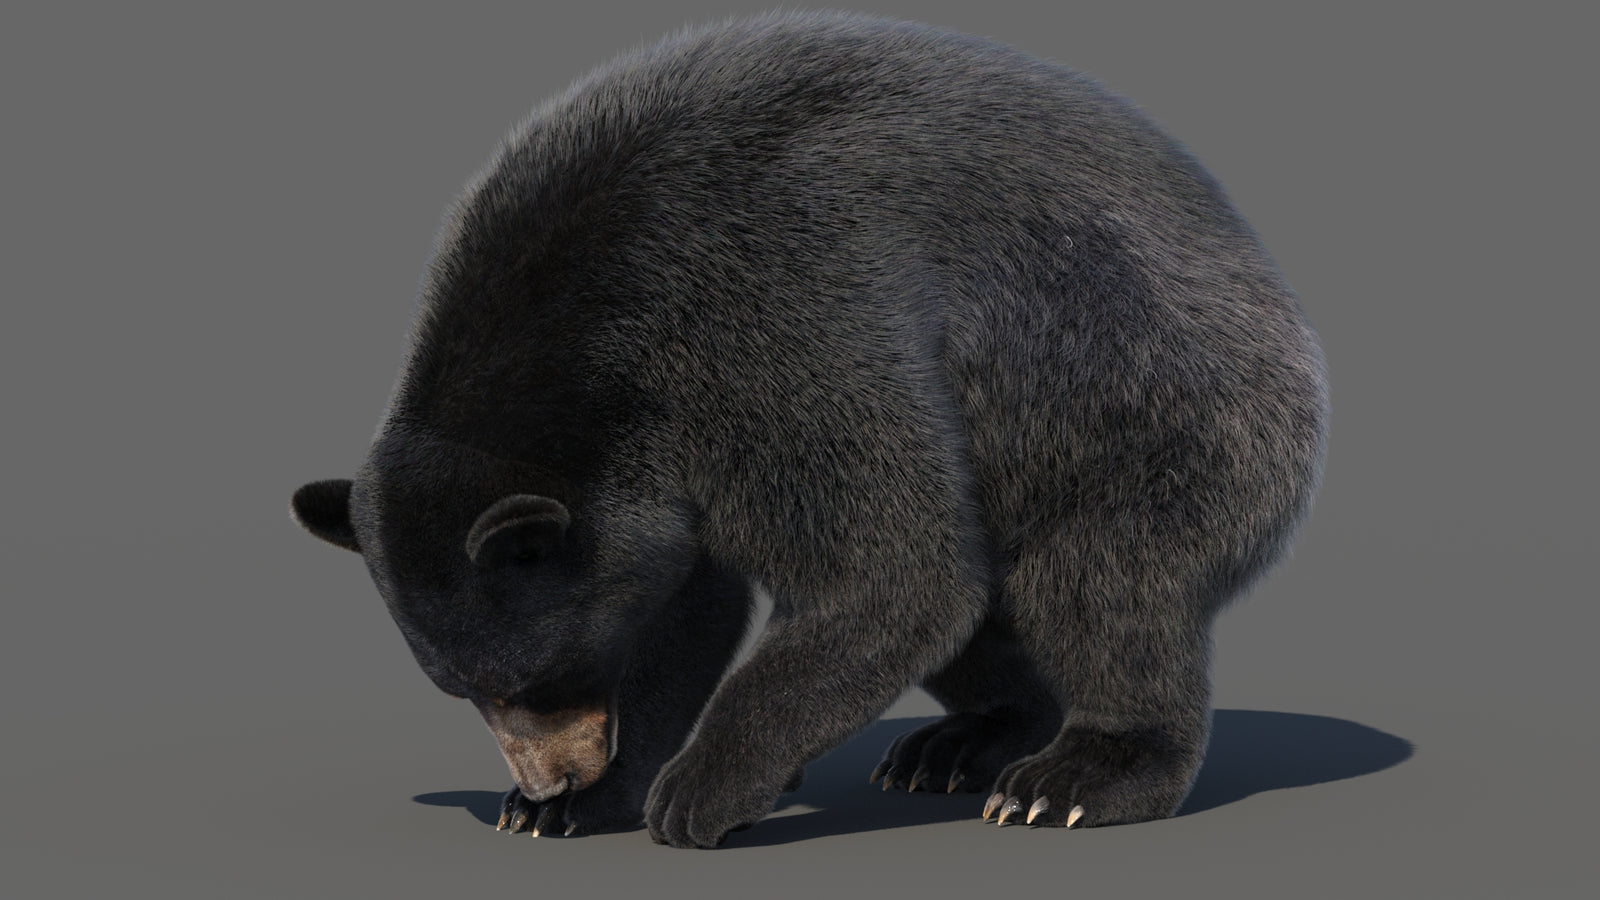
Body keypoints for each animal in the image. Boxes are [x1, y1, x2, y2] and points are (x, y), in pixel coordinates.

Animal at [291, 10, 1328, 849]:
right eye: (463, 688)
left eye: (534, 679)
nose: (552, 776)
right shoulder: (660, 449)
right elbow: (691, 600)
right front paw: (579, 804)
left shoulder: (774, 317)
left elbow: (888, 567)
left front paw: (694, 791)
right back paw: (962, 742)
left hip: (1156, 406)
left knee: (1101, 582)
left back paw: (1072, 777)